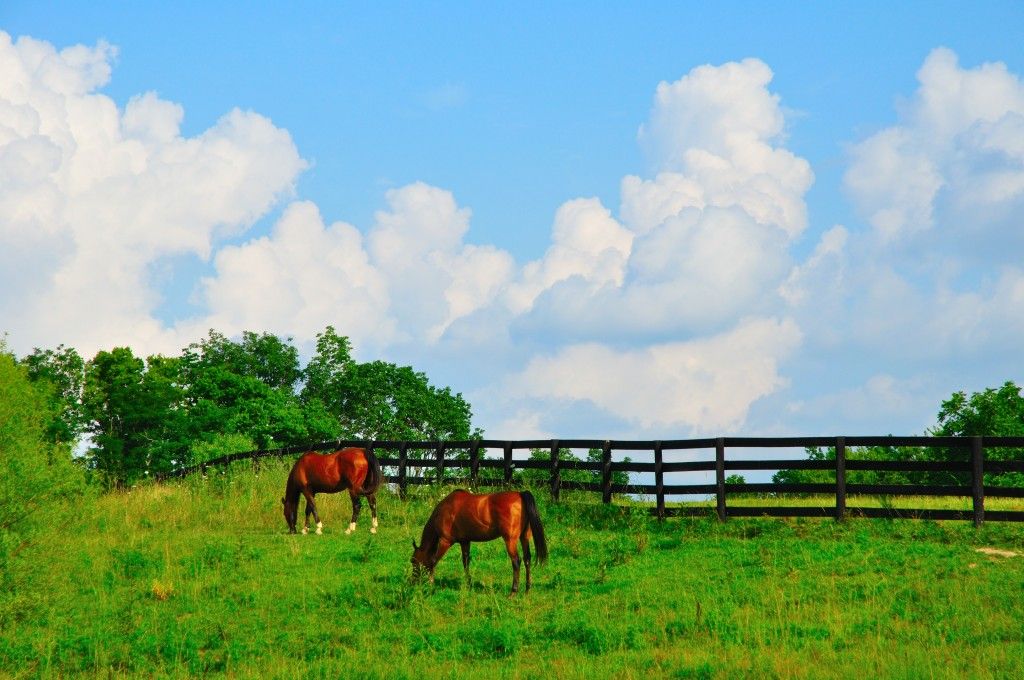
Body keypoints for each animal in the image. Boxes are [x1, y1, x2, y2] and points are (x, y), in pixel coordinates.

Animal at [409, 489, 548, 593]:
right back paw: (527, 589)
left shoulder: (445, 541)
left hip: (510, 540)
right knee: (527, 559)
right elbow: (465, 562)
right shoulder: (465, 541)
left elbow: (433, 561)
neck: (444, 510)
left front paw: (430, 583)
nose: (413, 582)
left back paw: (513, 592)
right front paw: (468, 585)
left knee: (516, 561)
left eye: (413, 561)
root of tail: (520, 494)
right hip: (524, 537)